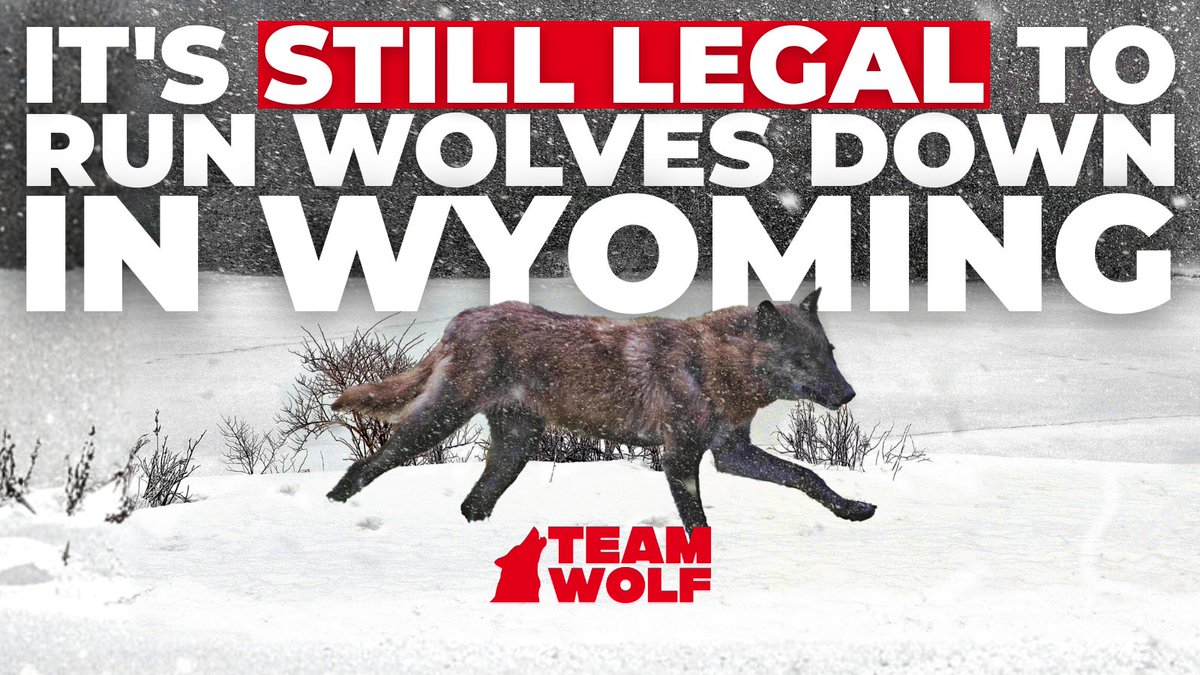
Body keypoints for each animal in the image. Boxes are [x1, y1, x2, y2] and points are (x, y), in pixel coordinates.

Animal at [327, 288, 875, 531]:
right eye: (804, 359)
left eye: (829, 352)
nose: (848, 395)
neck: (714, 368)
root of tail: (462, 318)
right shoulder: (681, 457)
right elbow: (697, 522)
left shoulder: (730, 453)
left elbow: (809, 477)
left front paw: (852, 509)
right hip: (437, 424)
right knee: (368, 464)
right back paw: (332, 510)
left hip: (515, 449)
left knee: (472, 505)